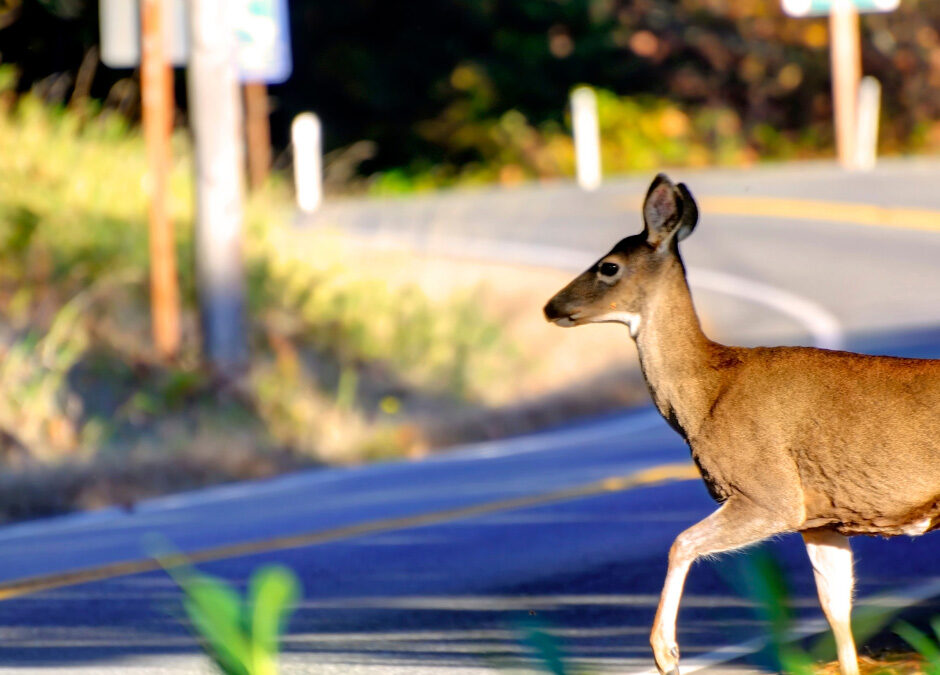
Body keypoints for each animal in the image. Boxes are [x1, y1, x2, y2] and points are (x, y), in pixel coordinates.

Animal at [543, 174, 940, 675]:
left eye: (608, 266)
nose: (550, 306)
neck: (707, 392)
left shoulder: (770, 493)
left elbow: (681, 542)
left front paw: (664, 651)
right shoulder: (823, 517)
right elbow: (836, 607)